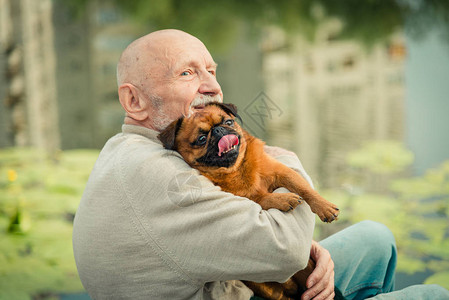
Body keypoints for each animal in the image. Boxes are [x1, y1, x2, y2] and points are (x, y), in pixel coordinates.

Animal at [158, 102, 340, 298]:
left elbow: (303, 187)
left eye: (228, 121)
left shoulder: (281, 172)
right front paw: (283, 198)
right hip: (264, 286)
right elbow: (262, 198)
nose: (218, 130)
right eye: (201, 139)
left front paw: (324, 207)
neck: (236, 169)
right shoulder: (245, 197)